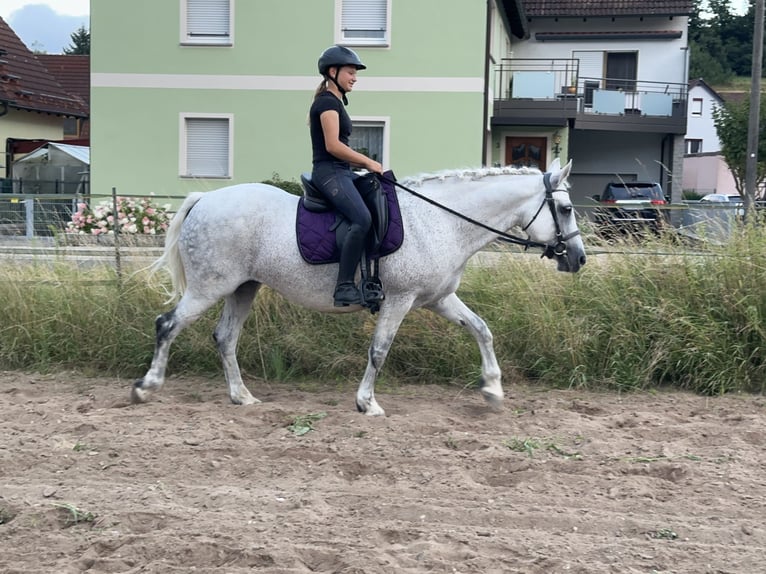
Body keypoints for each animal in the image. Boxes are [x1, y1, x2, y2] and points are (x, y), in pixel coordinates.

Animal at [132, 160, 588, 416]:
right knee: (167, 325)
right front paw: (367, 404)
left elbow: (481, 329)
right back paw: (146, 387)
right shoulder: (399, 300)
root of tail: (205, 199)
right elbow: (379, 351)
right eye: (565, 208)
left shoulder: (438, 299)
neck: (442, 221)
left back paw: (242, 397)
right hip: (209, 288)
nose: (579, 258)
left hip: (243, 288)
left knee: (225, 338)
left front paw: (492, 389)